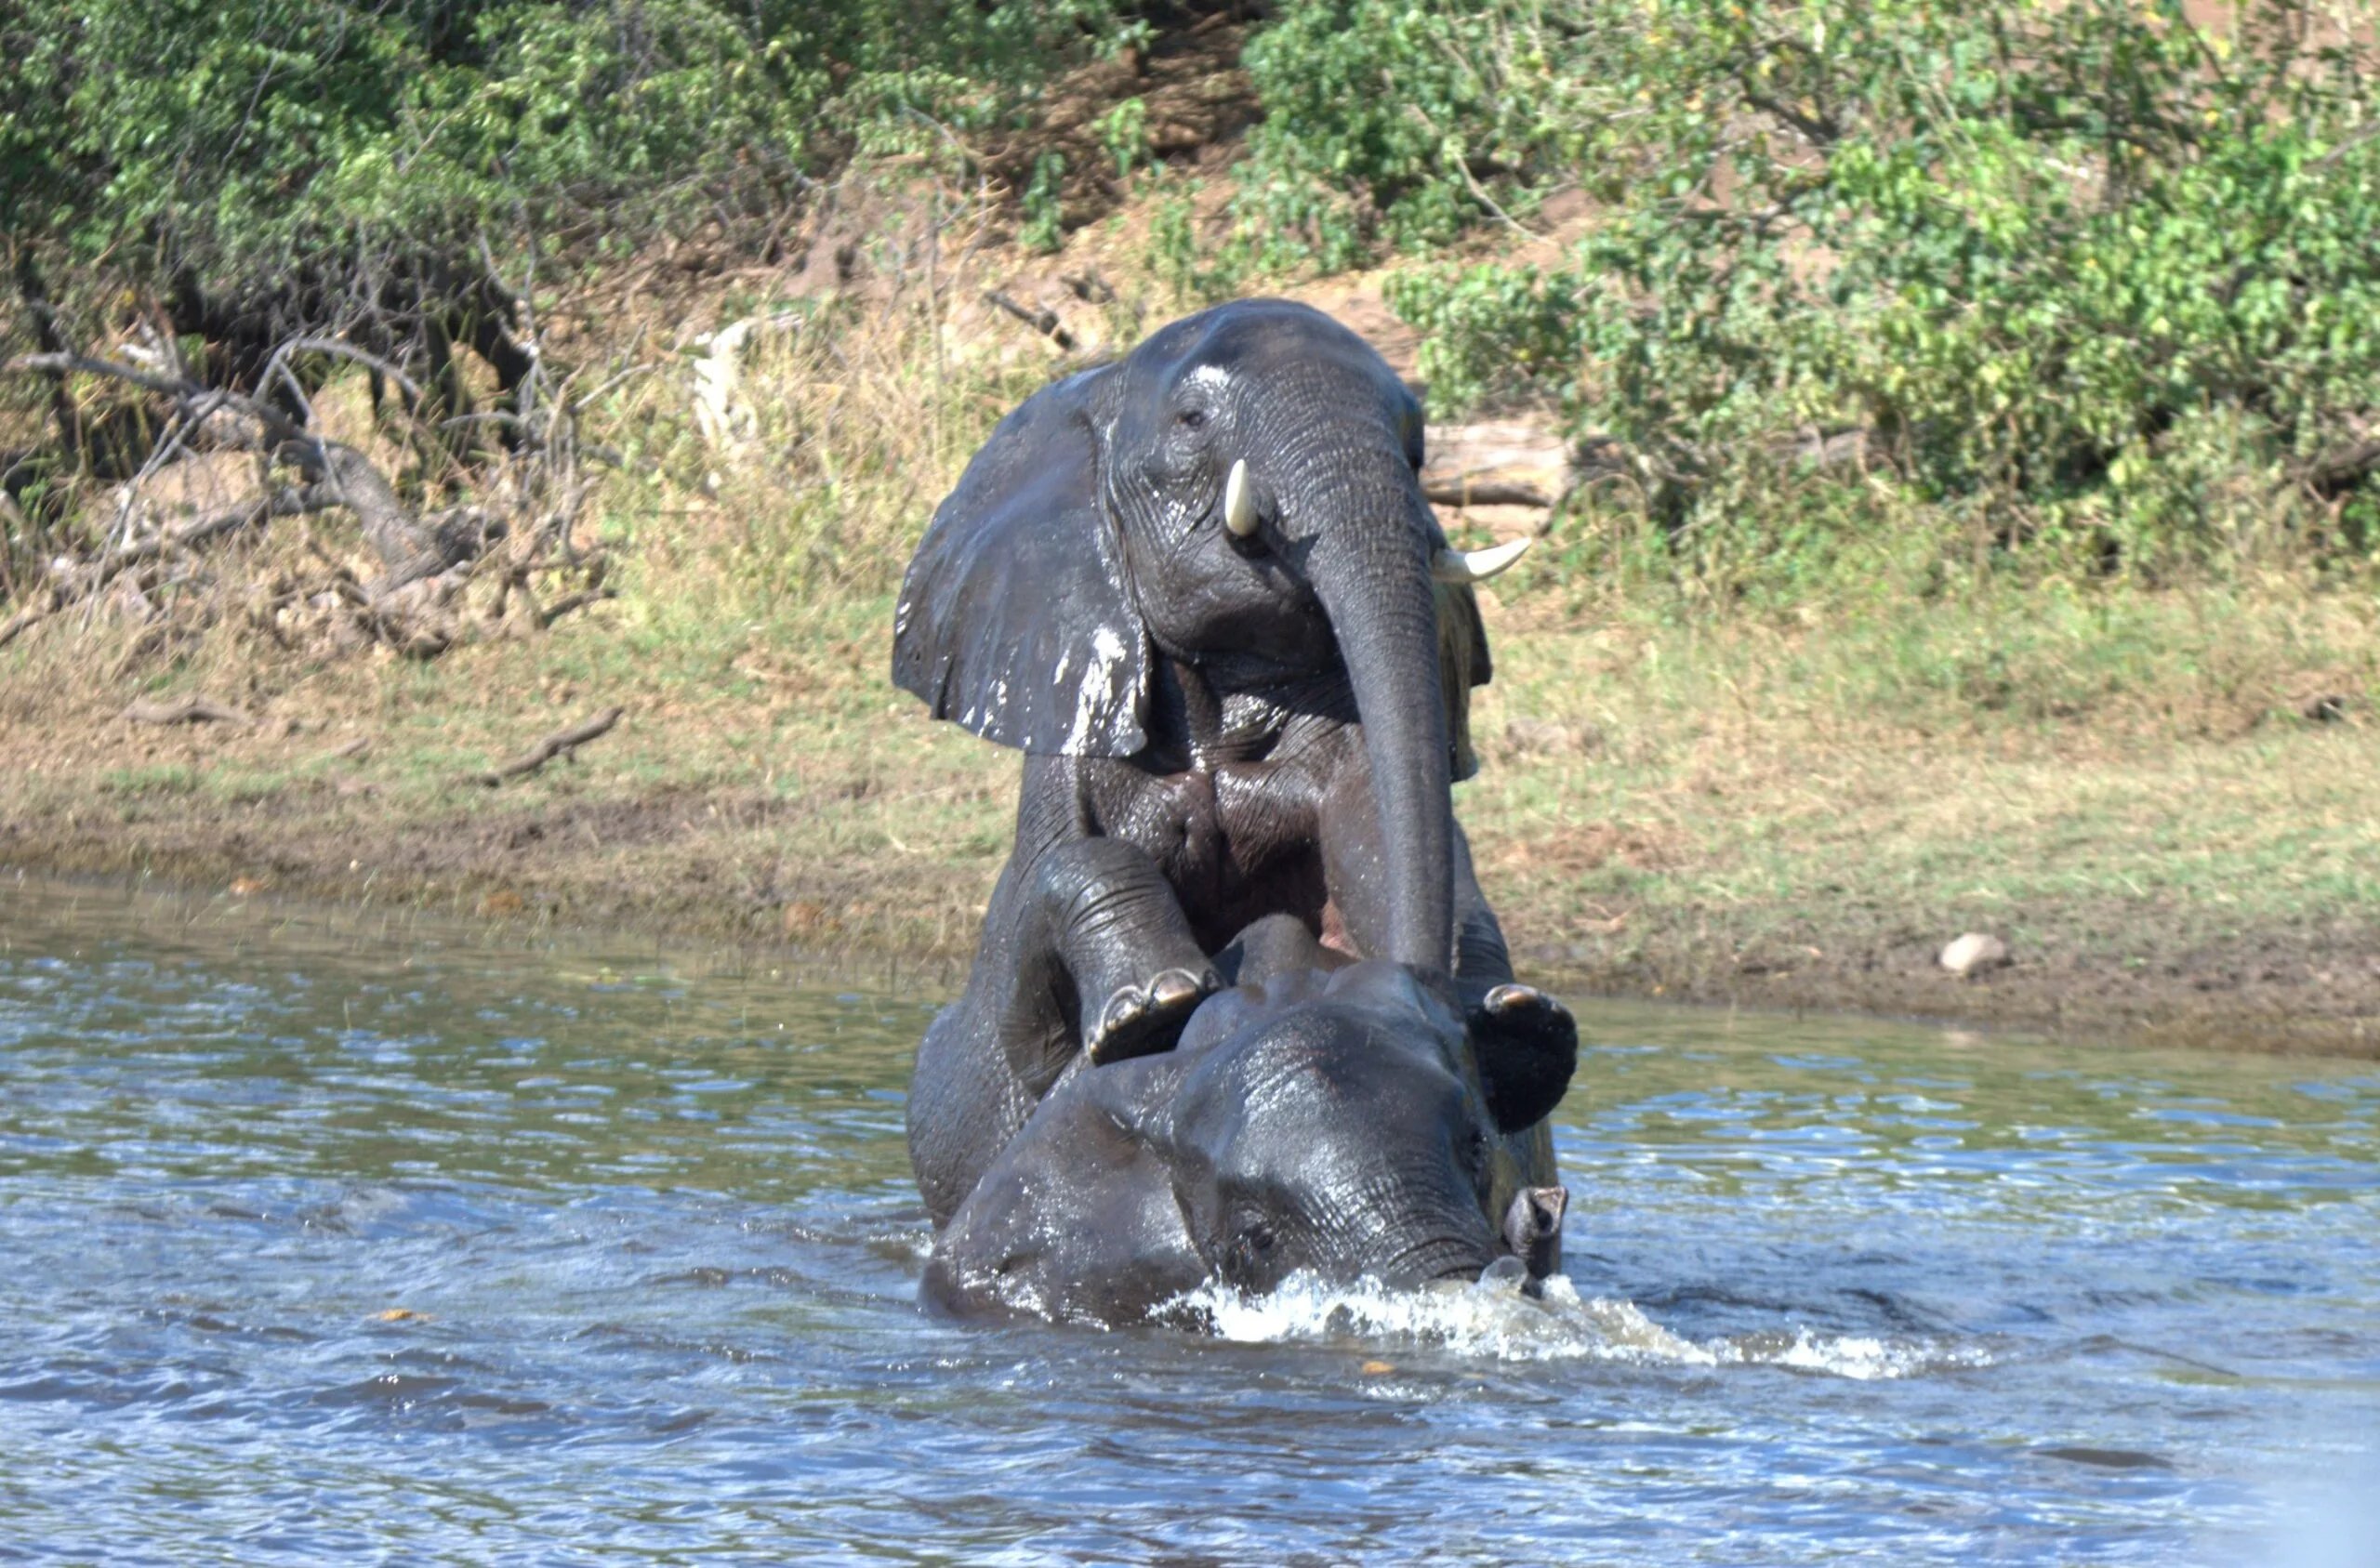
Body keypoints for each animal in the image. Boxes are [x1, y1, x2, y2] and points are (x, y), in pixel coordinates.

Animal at [893, 299, 1551, 1224]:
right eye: (1193, 420)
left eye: (1419, 447)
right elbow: (1059, 906)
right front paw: (1150, 1010)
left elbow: (1371, 831)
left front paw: (1509, 1011)